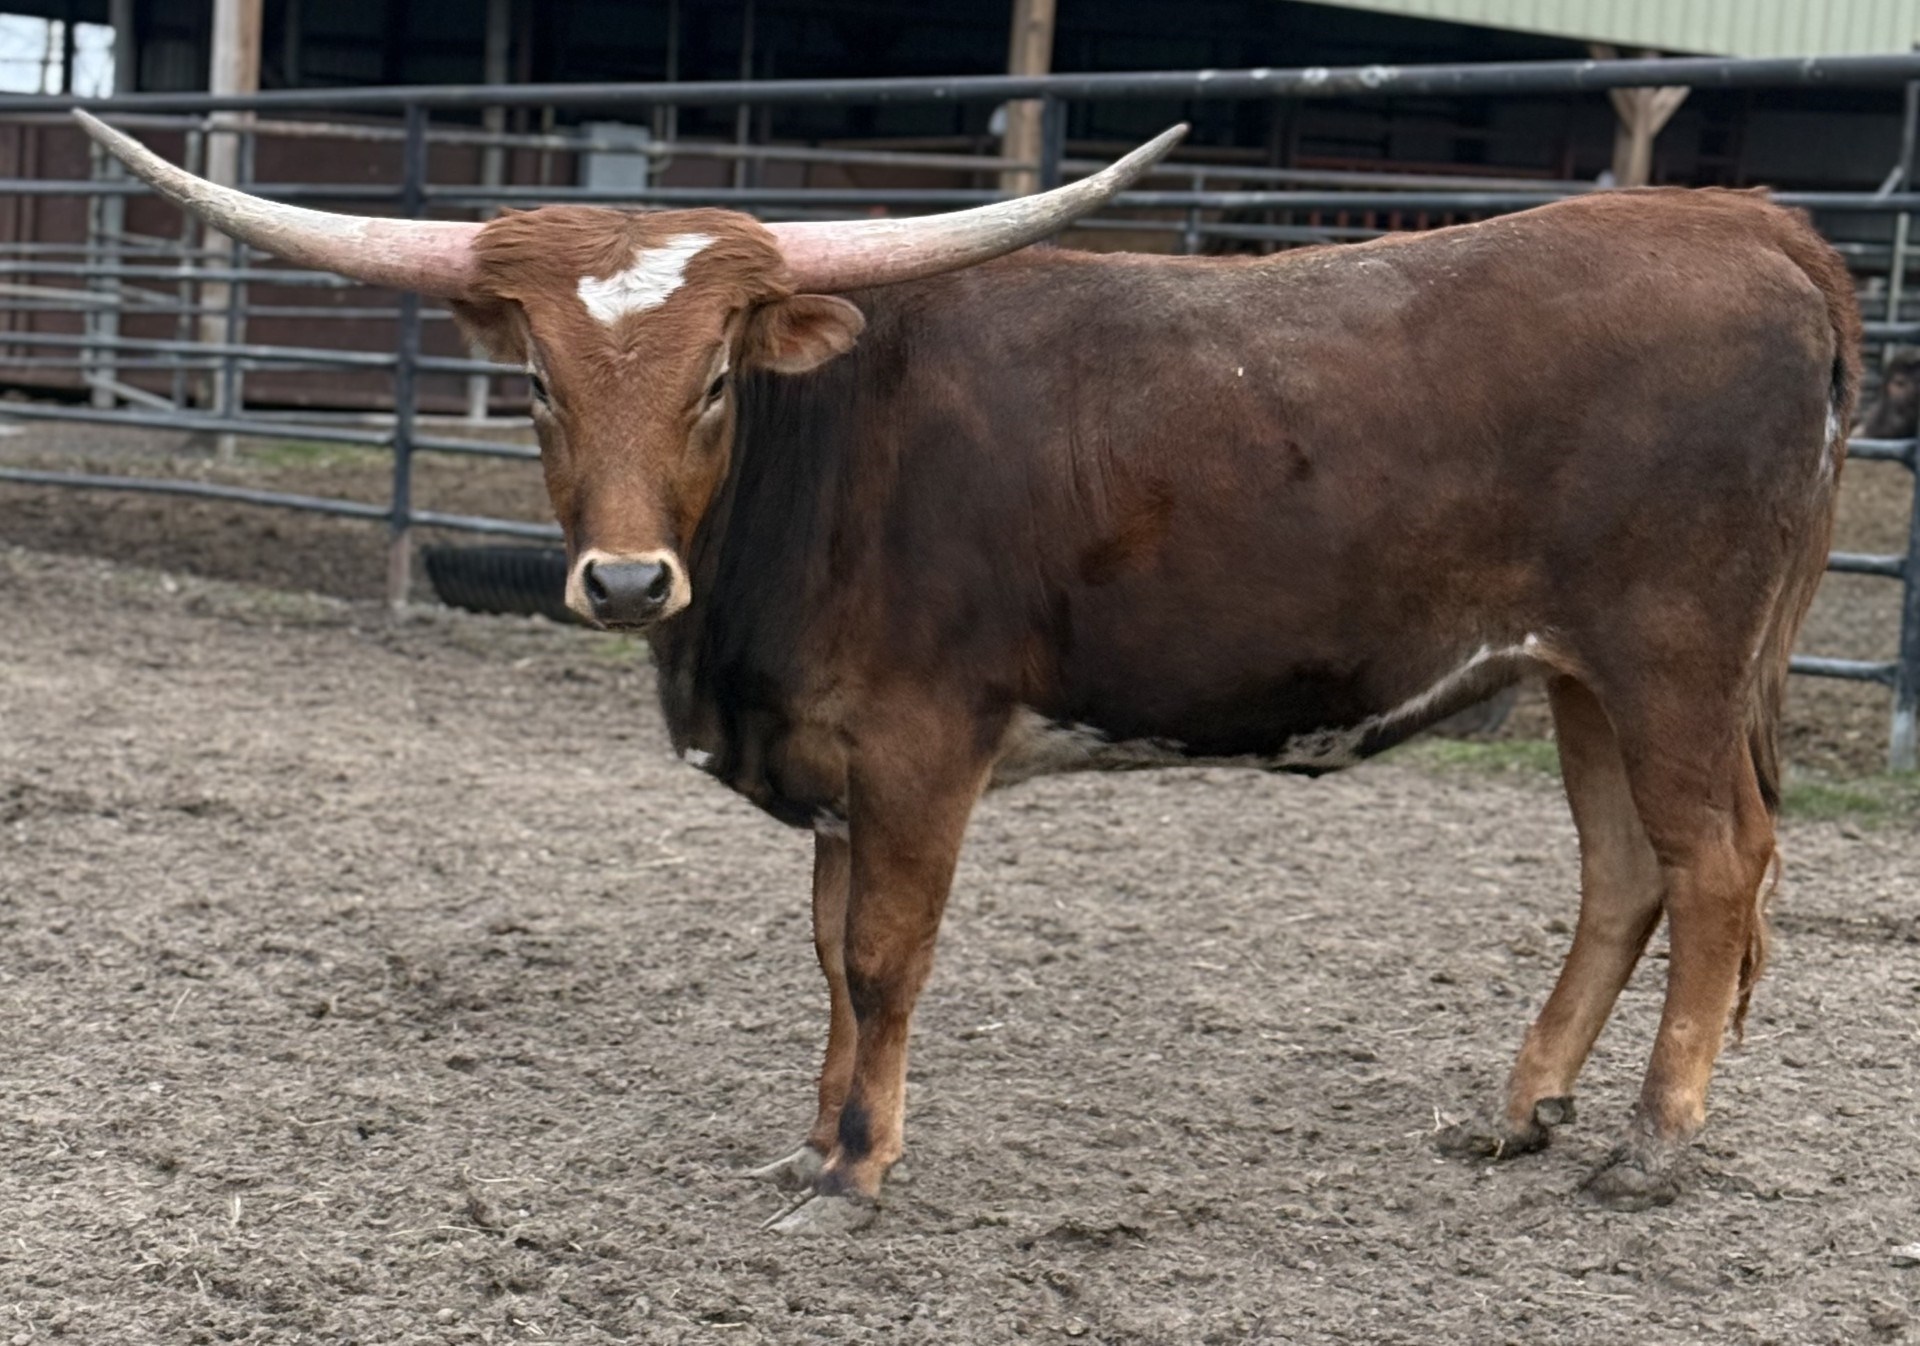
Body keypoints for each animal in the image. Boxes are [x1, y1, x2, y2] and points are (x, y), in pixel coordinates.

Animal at [79, 110, 1860, 1236]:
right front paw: (810, 1138)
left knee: (1717, 869)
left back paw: (1650, 1147)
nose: (627, 577)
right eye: (531, 379)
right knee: (1624, 873)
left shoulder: (923, 745)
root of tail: (1745, 222)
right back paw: (1519, 1111)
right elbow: (823, 957)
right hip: (1577, 673)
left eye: (717, 376)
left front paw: (860, 1171)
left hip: (1672, 656)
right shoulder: (830, 768)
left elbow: (884, 959)